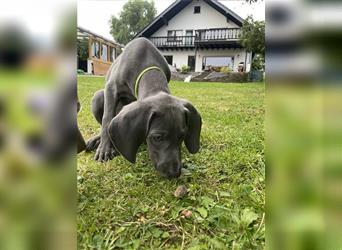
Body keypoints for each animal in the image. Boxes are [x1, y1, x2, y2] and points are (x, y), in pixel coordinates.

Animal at [85, 37, 202, 178]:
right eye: (157, 137)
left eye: (182, 136)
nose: (175, 173)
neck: (146, 60)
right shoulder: (111, 87)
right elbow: (107, 119)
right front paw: (105, 148)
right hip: (98, 97)